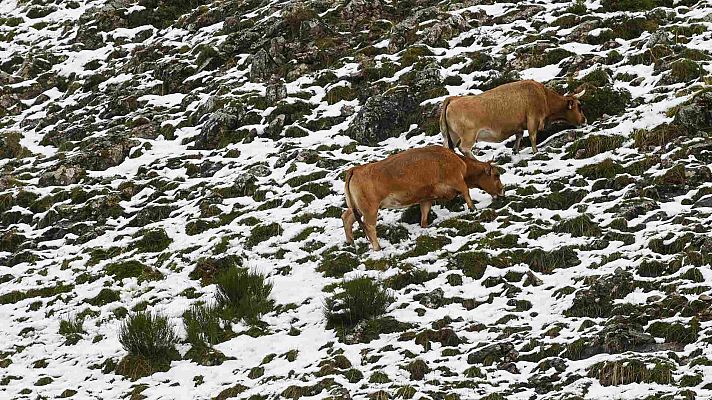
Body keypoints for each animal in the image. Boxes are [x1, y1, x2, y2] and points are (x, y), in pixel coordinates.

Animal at [342, 145, 504, 250]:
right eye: (496, 175)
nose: (502, 190)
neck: (460, 162)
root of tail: (356, 169)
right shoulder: (457, 180)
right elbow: (466, 192)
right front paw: (473, 208)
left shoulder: (426, 198)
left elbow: (425, 215)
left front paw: (425, 226)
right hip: (370, 208)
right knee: (369, 226)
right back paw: (377, 247)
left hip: (358, 207)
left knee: (347, 217)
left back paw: (350, 242)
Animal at [442, 79, 588, 158]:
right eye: (579, 106)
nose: (584, 120)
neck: (544, 96)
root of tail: (454, 99)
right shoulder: (533, 119)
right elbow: (532, 137)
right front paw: (535, 152)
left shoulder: (519, 126)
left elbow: (519, 136)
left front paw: (515, 150)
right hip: (468, 136)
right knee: (464, 149)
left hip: (451, 135)